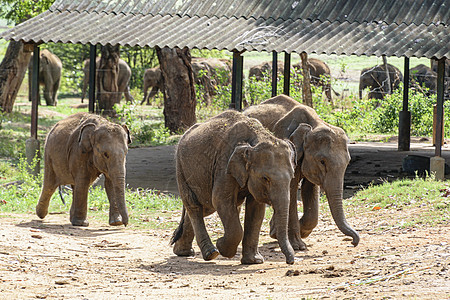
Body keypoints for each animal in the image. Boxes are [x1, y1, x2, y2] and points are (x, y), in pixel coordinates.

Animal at [171, 109, 298, 264]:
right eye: (265, 178)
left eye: (292, 176)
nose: (290, 261)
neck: (258, 138)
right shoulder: (224, 164)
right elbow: (220, 200)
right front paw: (222, 245)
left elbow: (256, 209)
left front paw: (253, 261)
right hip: (181, 169)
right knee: (195, 206)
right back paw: (211, 253)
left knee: (204, 208)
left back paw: (183, 252)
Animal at [244, 95, 360, 252]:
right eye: (322, 161)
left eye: (348, 162)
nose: (353, 242)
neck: (314, 124)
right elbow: (291, 190)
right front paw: (298, 246)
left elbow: (309, 189)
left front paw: (303, 232)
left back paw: (275, 233)